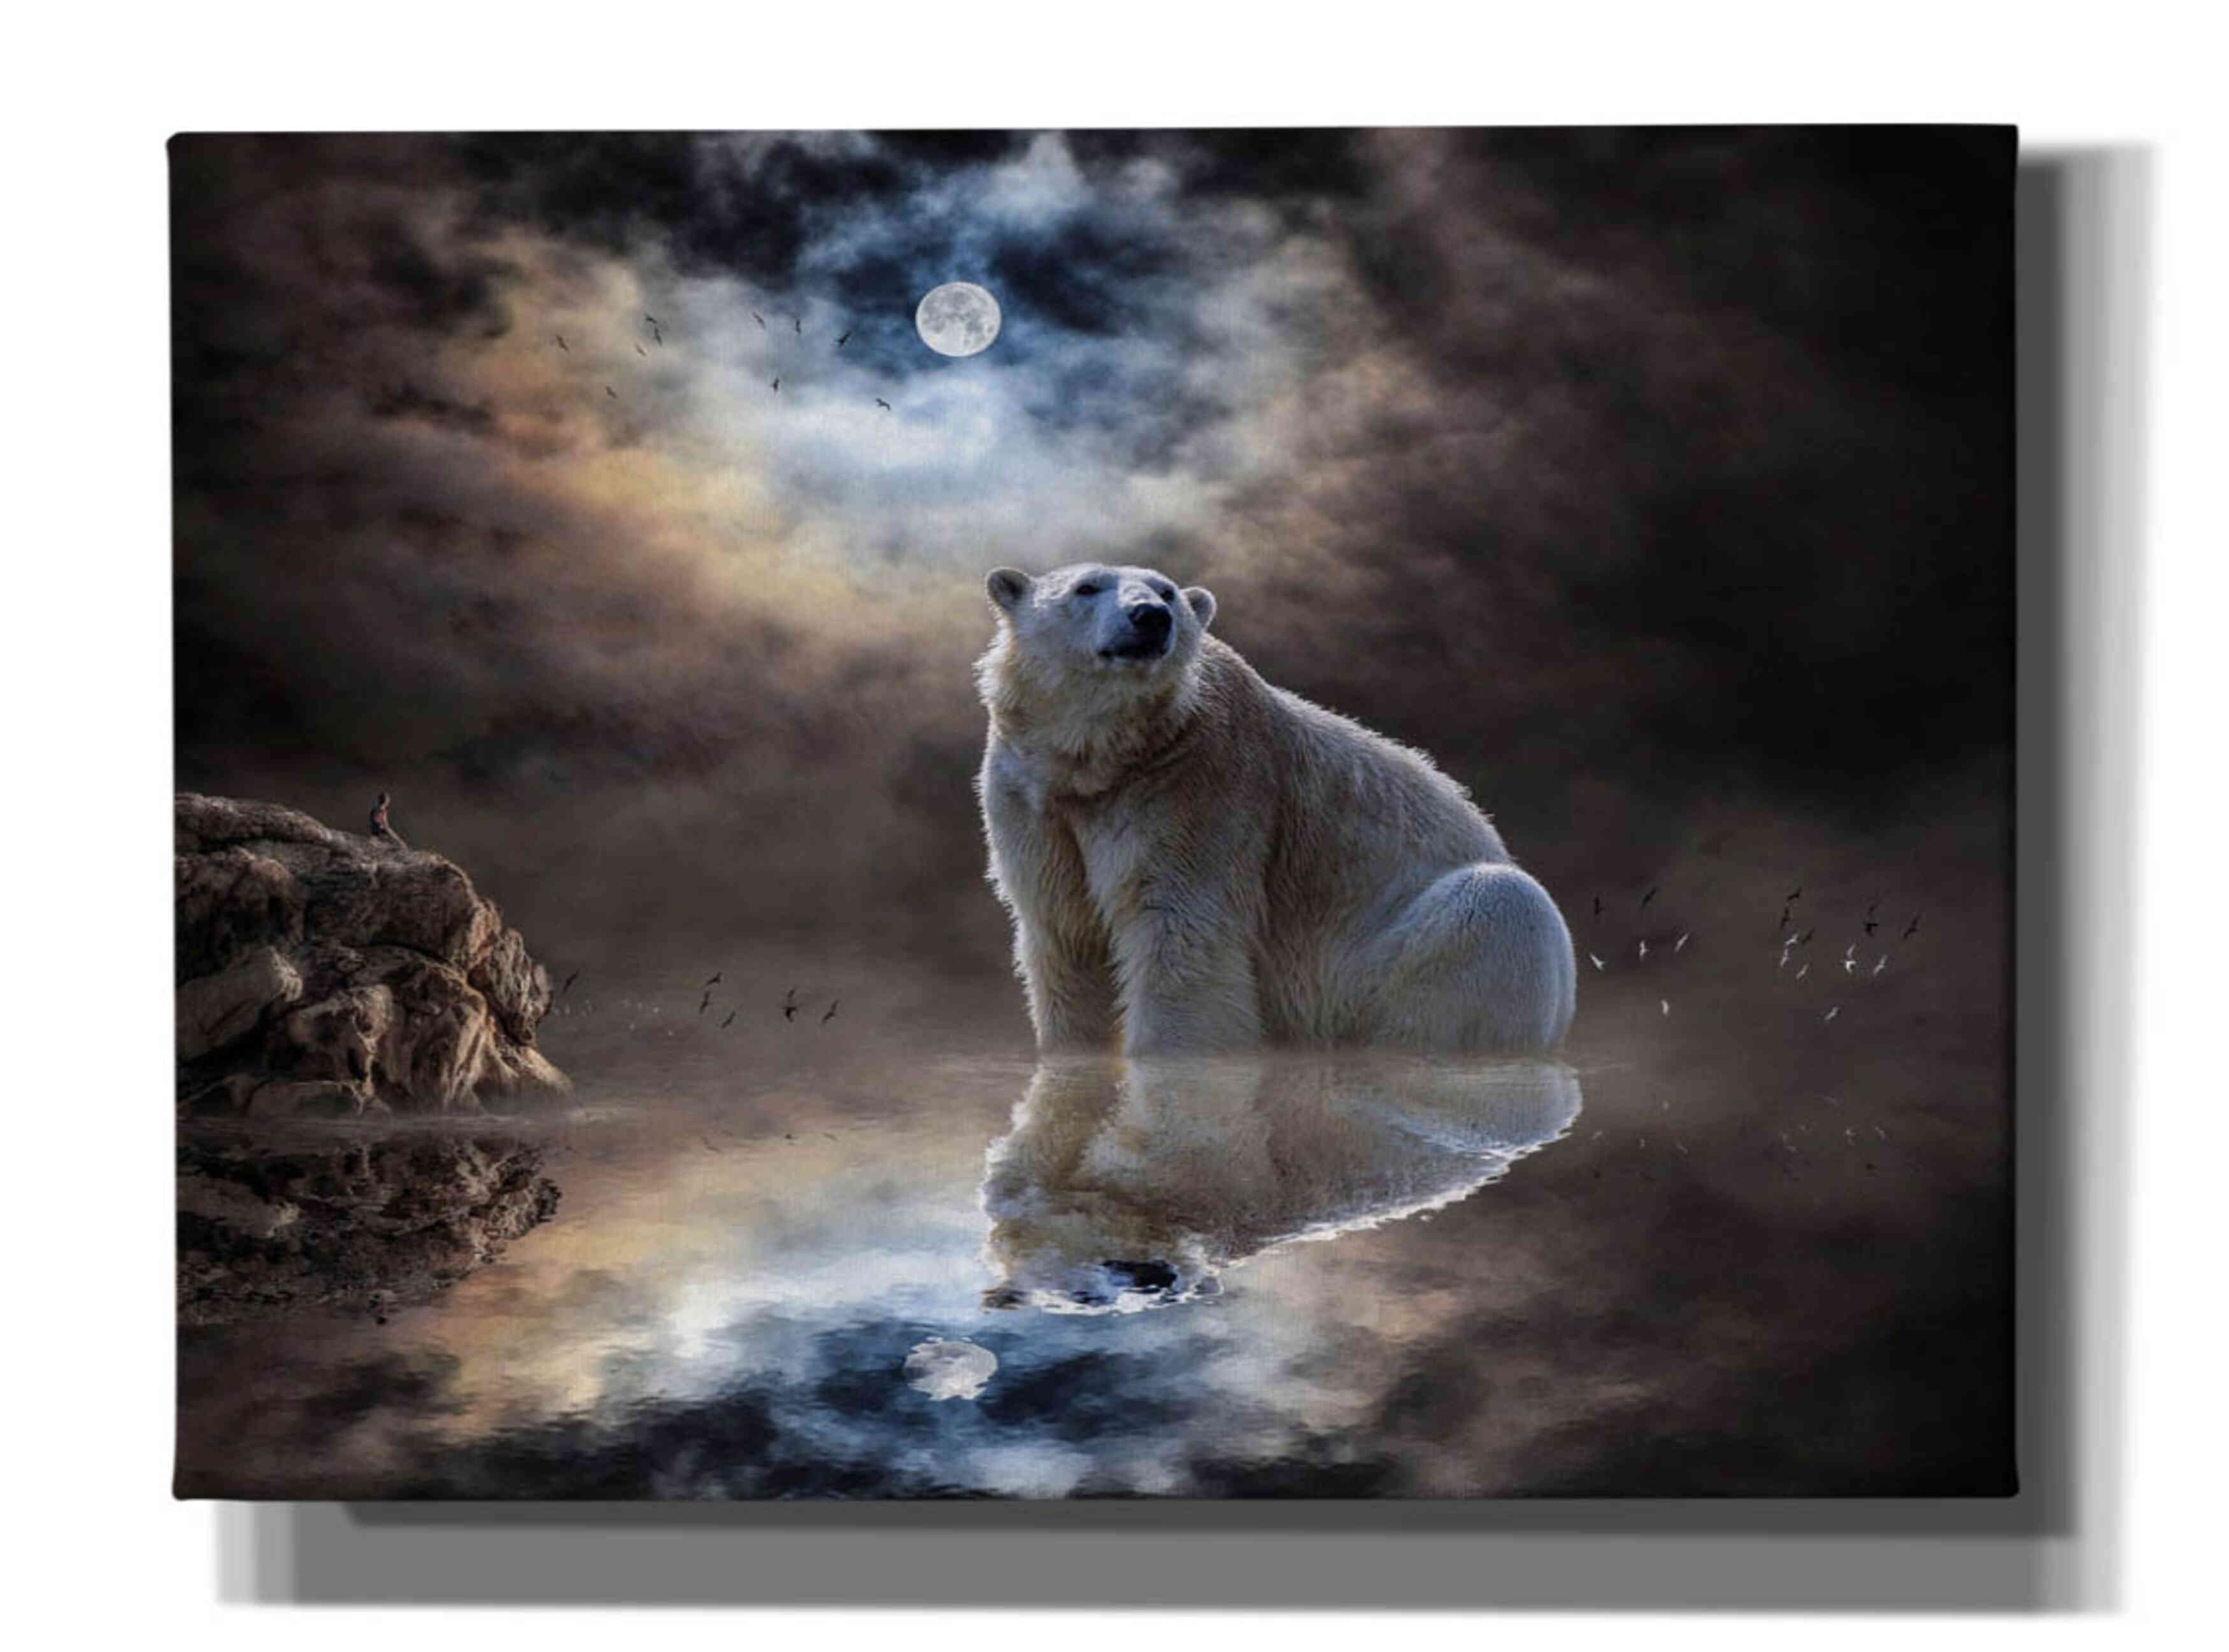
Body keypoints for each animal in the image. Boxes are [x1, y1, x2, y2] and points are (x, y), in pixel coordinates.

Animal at [975, 562, 1576, 1055]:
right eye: (1086, 587)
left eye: (1167, 591)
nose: (1150, 617)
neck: (1102, 759)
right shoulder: (1030, 797)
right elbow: (1065, 932)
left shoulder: (1198, 786)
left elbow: (1182, 932)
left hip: (1383, 960)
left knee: (1499, 906)